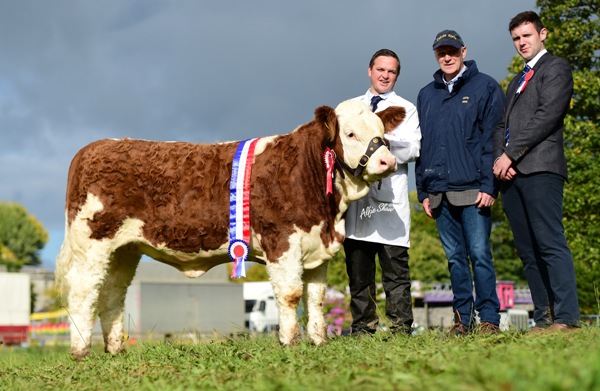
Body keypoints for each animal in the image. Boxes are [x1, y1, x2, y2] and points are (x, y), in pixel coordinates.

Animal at [56, 99, 406, 360]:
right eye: (350, 133)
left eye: (382, 133)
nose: (388, 162)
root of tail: (94, 147)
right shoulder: (283, 241)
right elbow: (291, 295)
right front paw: (290, 343)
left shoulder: (316, 248)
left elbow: (316, 298)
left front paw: (318, 342)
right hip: (92, 242)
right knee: (83, 291)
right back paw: (80, 351)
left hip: (123, 250)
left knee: (112, 293)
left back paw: (115, 349)